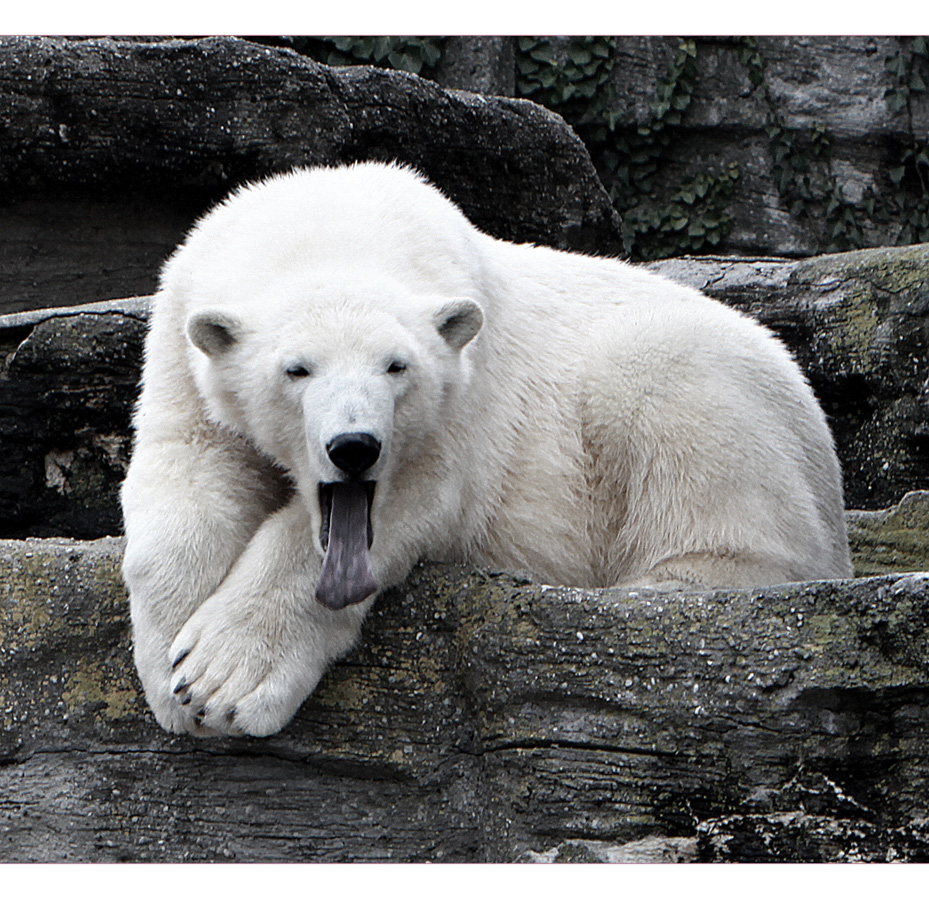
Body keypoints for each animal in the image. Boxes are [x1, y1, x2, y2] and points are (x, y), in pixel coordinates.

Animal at [119, 162, 852, 740]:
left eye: (397, 366)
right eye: (295, 370)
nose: (354, 447)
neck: (328, 223)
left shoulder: (461, 396)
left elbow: (405, 501)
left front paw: (220, 679)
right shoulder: (182, 350)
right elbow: (188, 468)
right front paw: (168, 672)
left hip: (710, 386)